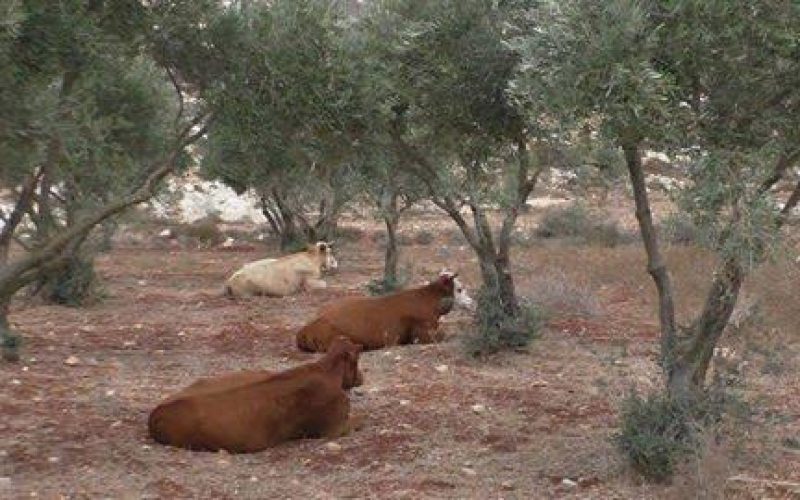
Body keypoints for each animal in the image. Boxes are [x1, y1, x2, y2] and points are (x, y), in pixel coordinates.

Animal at [147, 336, 362, 454]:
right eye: (357, 360)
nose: (361, 377)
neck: (327, 370)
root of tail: (157, 412)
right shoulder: (334, 428)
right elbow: (360, 419)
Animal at [300, 270, 476, 352]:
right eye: (459, 289)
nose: (472, 303)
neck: (429, 299)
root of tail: (307, 328)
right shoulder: (425, 334)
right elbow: (444, 334)